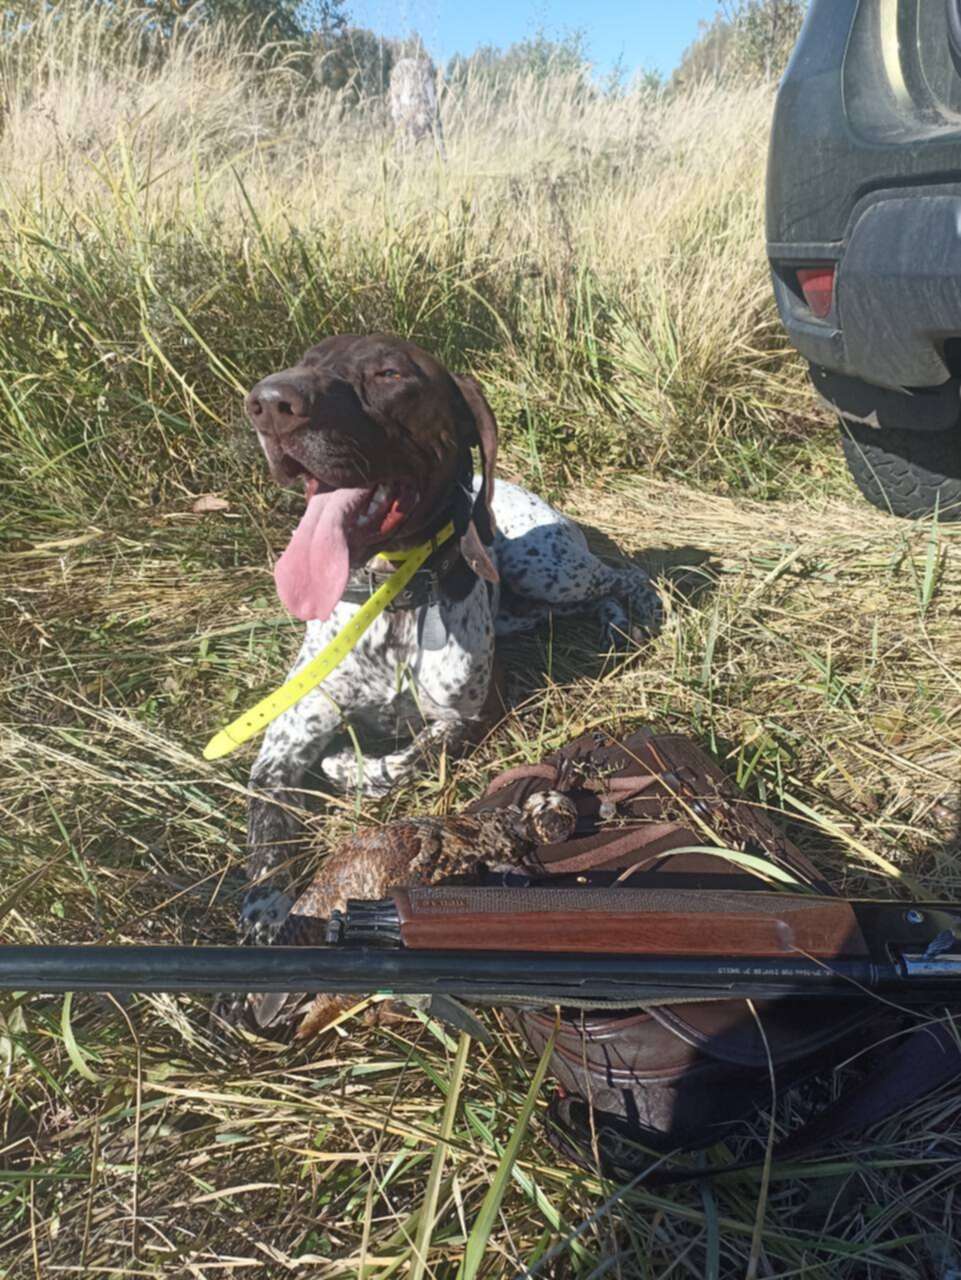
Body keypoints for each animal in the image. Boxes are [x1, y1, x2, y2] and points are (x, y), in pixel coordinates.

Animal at [241, 333, 660, 935]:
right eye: (303, 362)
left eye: (390, 373)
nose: (269, 402)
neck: (393, 598)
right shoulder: (284, 741)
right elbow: (265, 835)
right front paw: (265, 910)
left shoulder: (472, 715)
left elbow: (406, 760)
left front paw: (348, 765)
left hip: (548, 569)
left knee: (625, 574)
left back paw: (639, 616)